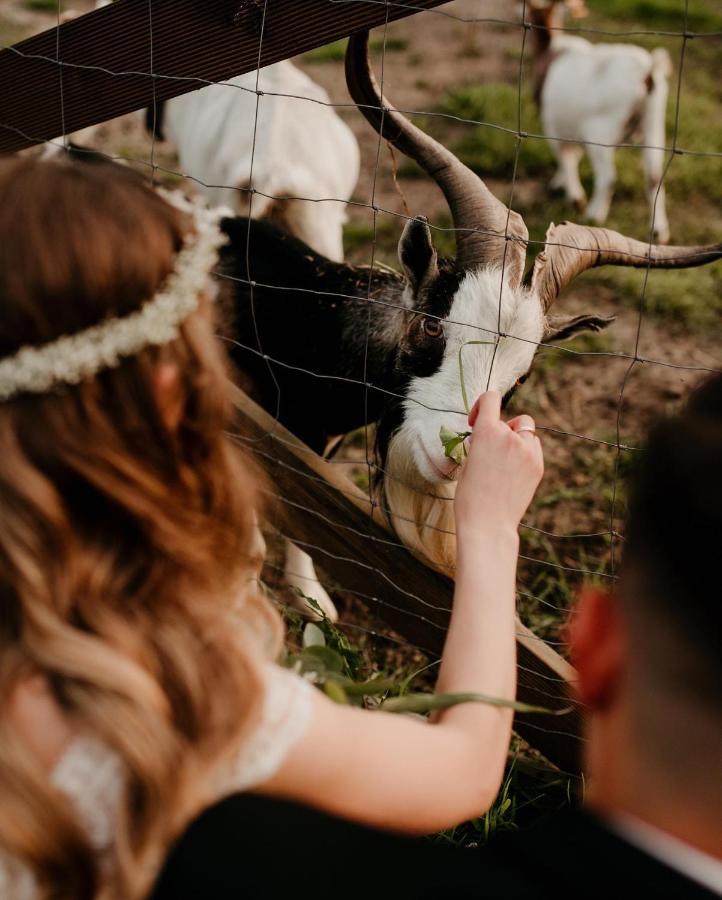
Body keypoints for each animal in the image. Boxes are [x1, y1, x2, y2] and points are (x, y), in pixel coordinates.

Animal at [524, 0, 672, 243]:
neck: (550, 48)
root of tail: (647, 71)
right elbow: (572, 155)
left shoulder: (551, 124)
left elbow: (565, 156)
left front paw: (572, 194)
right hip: (654, 123)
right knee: (653, 176)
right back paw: (659, 231)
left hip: (601, 132)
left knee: (608, 176)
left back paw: (594, 214)